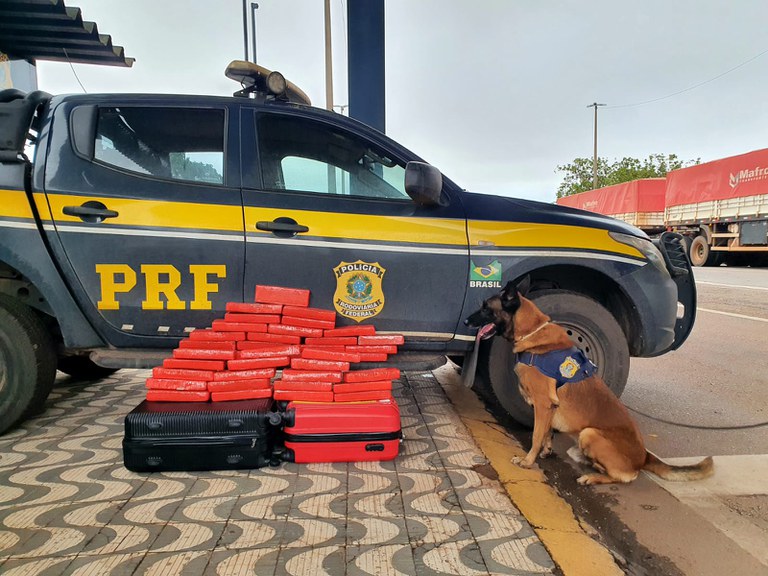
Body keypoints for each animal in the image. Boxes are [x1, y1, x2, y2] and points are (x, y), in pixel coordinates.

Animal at [464, 280, 716, 486]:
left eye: (486, 307)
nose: (466, 320)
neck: (532, 332)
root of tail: (644, 456)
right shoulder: (550, 407)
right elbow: (546, 433)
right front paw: (546, 451)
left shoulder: (543, 404)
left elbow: (536, 434)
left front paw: (527, 461)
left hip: (590, 433)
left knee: (623, 477)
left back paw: (592, 477)